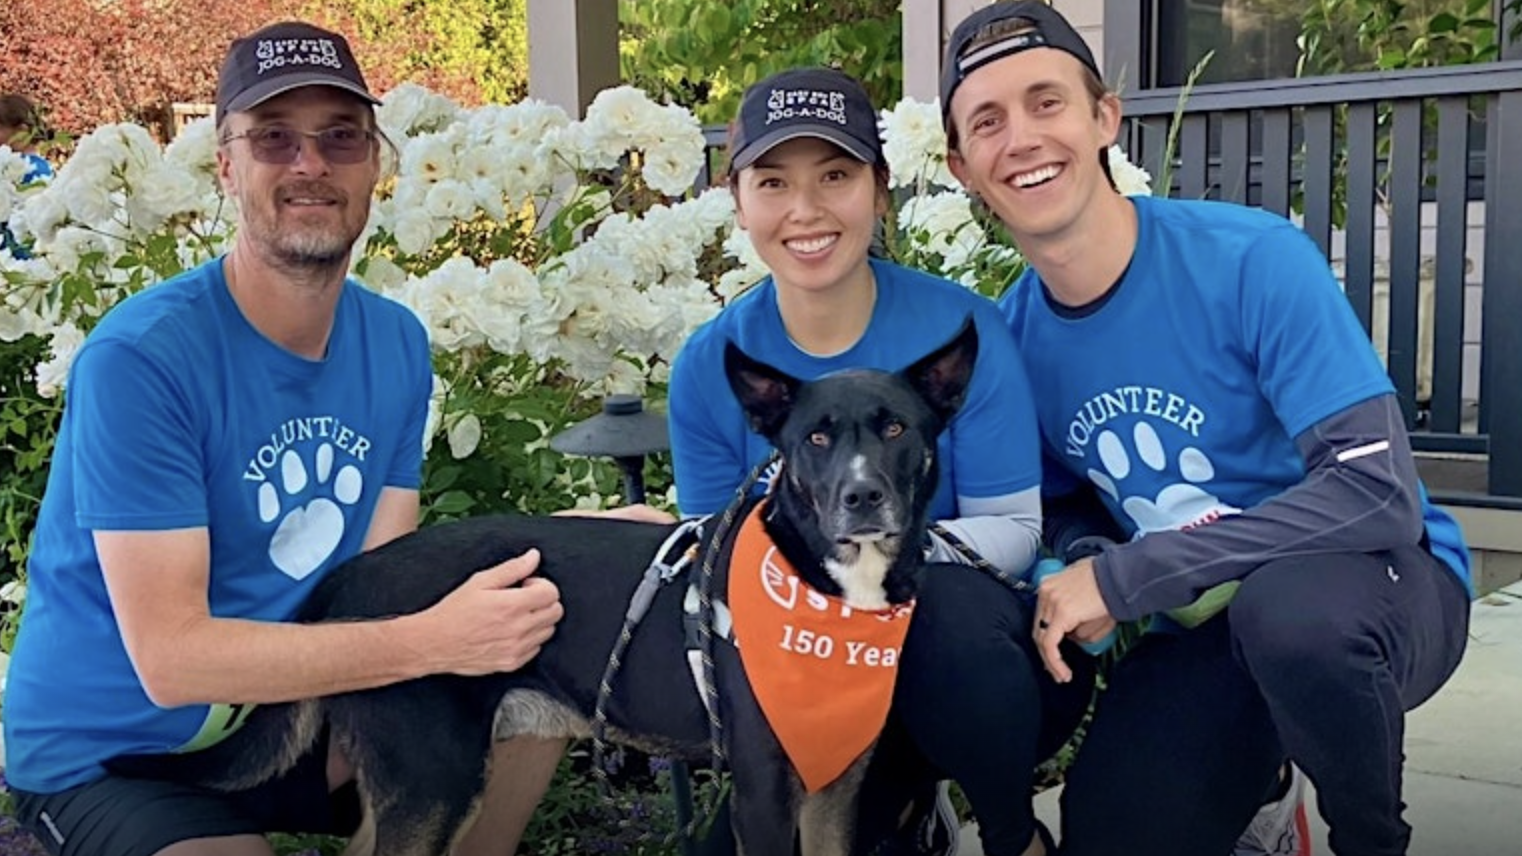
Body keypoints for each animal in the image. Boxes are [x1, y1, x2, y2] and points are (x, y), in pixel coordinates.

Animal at [115, 321, 974, 852]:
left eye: (896, 427)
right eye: (816, 438)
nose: (861, 496)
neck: (823, 590)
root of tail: (349, 574)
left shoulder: (837, 789)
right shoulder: (764, 793)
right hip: (435, 776)